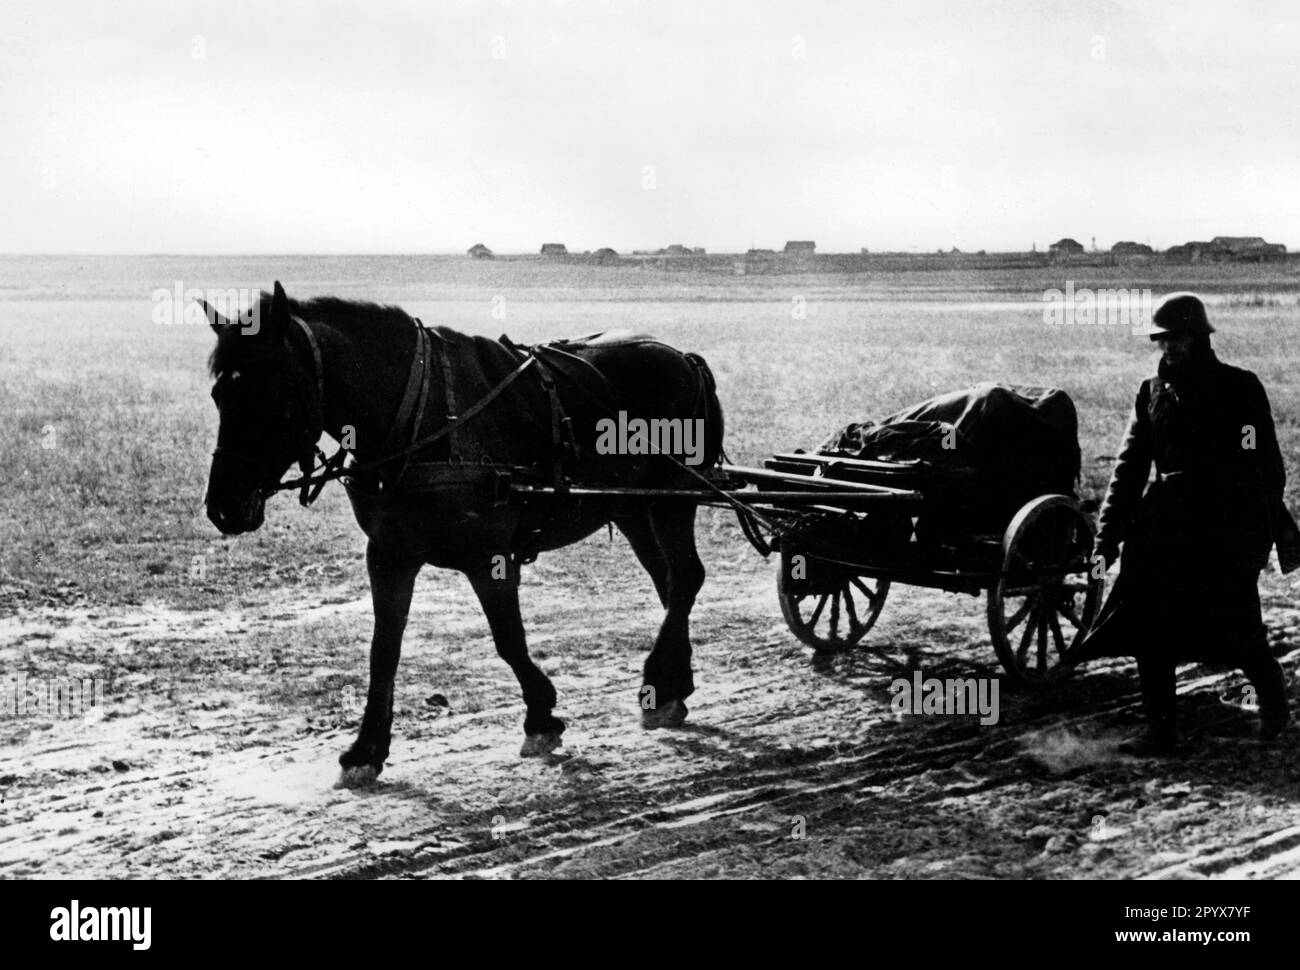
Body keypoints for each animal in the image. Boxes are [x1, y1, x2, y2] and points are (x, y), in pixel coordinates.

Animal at [205, 279, 733, 785]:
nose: (224, 507)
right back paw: (672, 684)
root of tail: (682, 357)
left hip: (672, 500)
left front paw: (541, 716)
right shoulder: (389, 555)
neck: (419, 415)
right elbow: (384, 650)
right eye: (218, 396)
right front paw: (367, 749)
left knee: (686, 578)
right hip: (633, 508)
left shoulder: (488, 558)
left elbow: (508, 639)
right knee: (670, 584)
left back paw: (658, 681)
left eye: (270, 393)